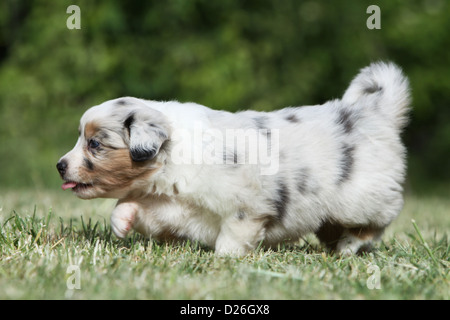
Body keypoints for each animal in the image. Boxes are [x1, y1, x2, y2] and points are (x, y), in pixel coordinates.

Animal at [57, 62, 412, 255]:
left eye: (94, 144)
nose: (59, 166)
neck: (174, 159)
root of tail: (376, 112)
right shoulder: (174, 206)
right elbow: (132, 206)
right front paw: (121, 223)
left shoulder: (246, 206)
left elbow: (234, 235)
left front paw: (224, 260)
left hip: (362, 197)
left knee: (379, 222)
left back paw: (349, 246)